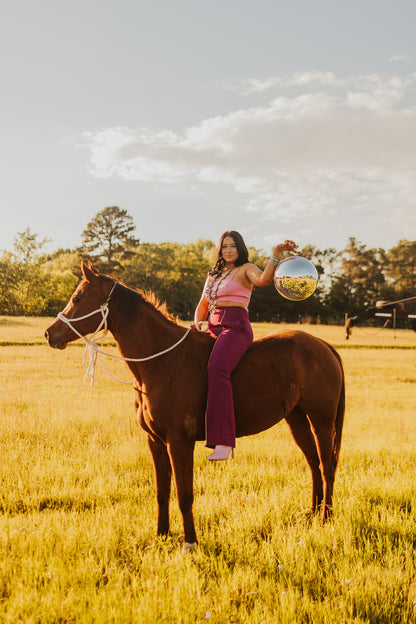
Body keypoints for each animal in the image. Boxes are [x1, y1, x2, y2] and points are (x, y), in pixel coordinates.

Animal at [45, 262, 344, 552]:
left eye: (77, 298)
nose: (49, 333)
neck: (164, 361)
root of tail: (323, 345)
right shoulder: (155, 441)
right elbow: (162, 491)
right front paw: (161, 536)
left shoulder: (179, 442)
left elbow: (183, 494)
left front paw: (190, 542)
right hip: (296, 419)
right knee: (313, 463)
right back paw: (312, 513)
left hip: (322, 420)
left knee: (327, 466)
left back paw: (325, 517)